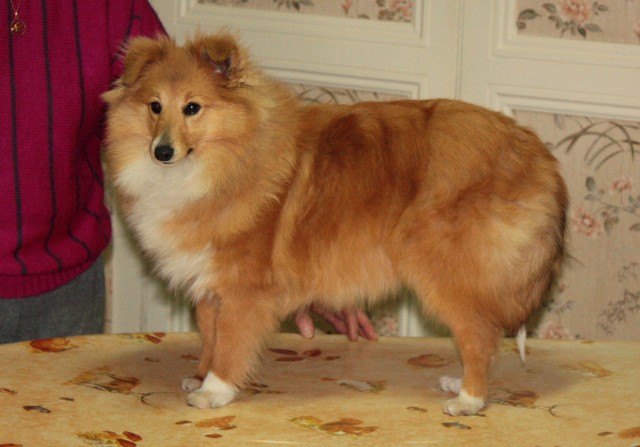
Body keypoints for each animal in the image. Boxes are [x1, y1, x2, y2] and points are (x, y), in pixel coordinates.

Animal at [102, 33, 568, 416]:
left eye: (193, 108)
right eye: (155, 106)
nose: (162, 151)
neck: (227, 159)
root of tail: (538, 155)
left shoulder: (243, 289)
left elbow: (230, 344)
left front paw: (214, 391)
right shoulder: (209, 288)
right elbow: (210, 340)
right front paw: (200, 376)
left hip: (445, 270)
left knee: (481, 336)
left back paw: (468, 399)